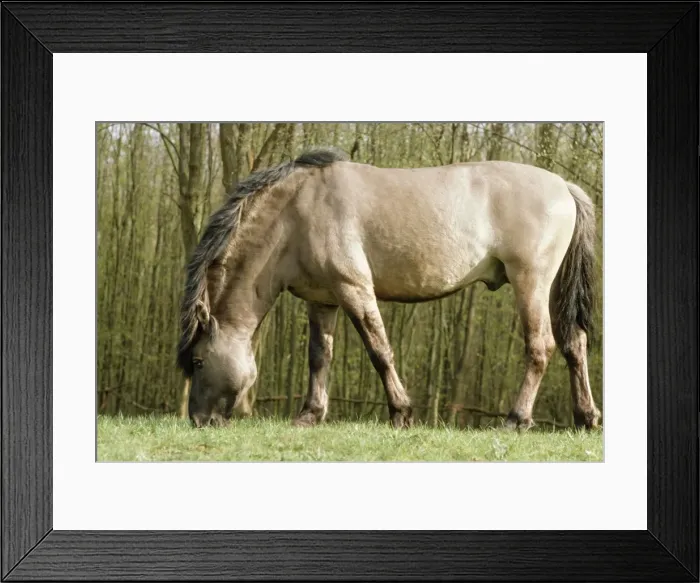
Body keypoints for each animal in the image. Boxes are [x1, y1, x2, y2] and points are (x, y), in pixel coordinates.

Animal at [177, 147, 601, 431]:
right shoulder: (322, 300)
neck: (297, 210)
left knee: (540, 347)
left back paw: (517, 418)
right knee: (574, 344)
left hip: (530, 282)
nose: (198, 420)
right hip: (553, 288)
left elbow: (379, 351)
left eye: (197, 362)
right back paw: (586, 418)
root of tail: (564, 186)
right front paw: (310, 415)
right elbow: (319, 357)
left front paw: (400, 412)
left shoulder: (354, 288)